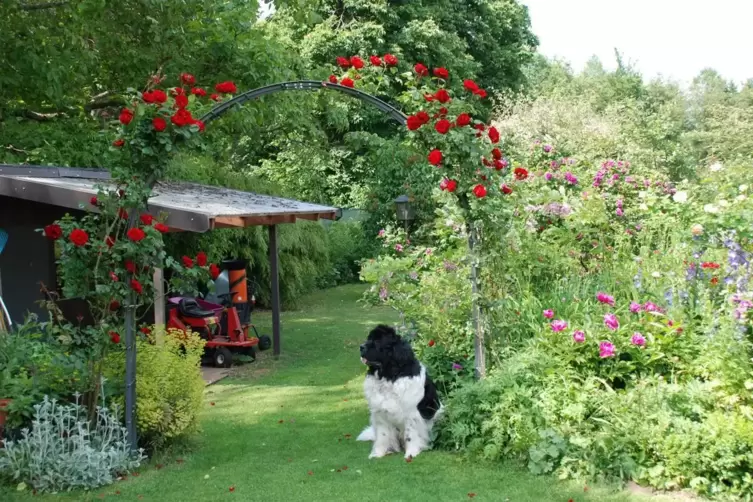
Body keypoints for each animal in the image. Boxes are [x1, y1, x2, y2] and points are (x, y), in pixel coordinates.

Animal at [356, 326, 444, 458]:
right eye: (369, 338)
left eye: (377, 341)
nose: (361, 347)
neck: (389, 376)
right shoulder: (380, 413)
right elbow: (382, 435)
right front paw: (378, 453)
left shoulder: (411, 413)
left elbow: (410, 435)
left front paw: (411, 453)